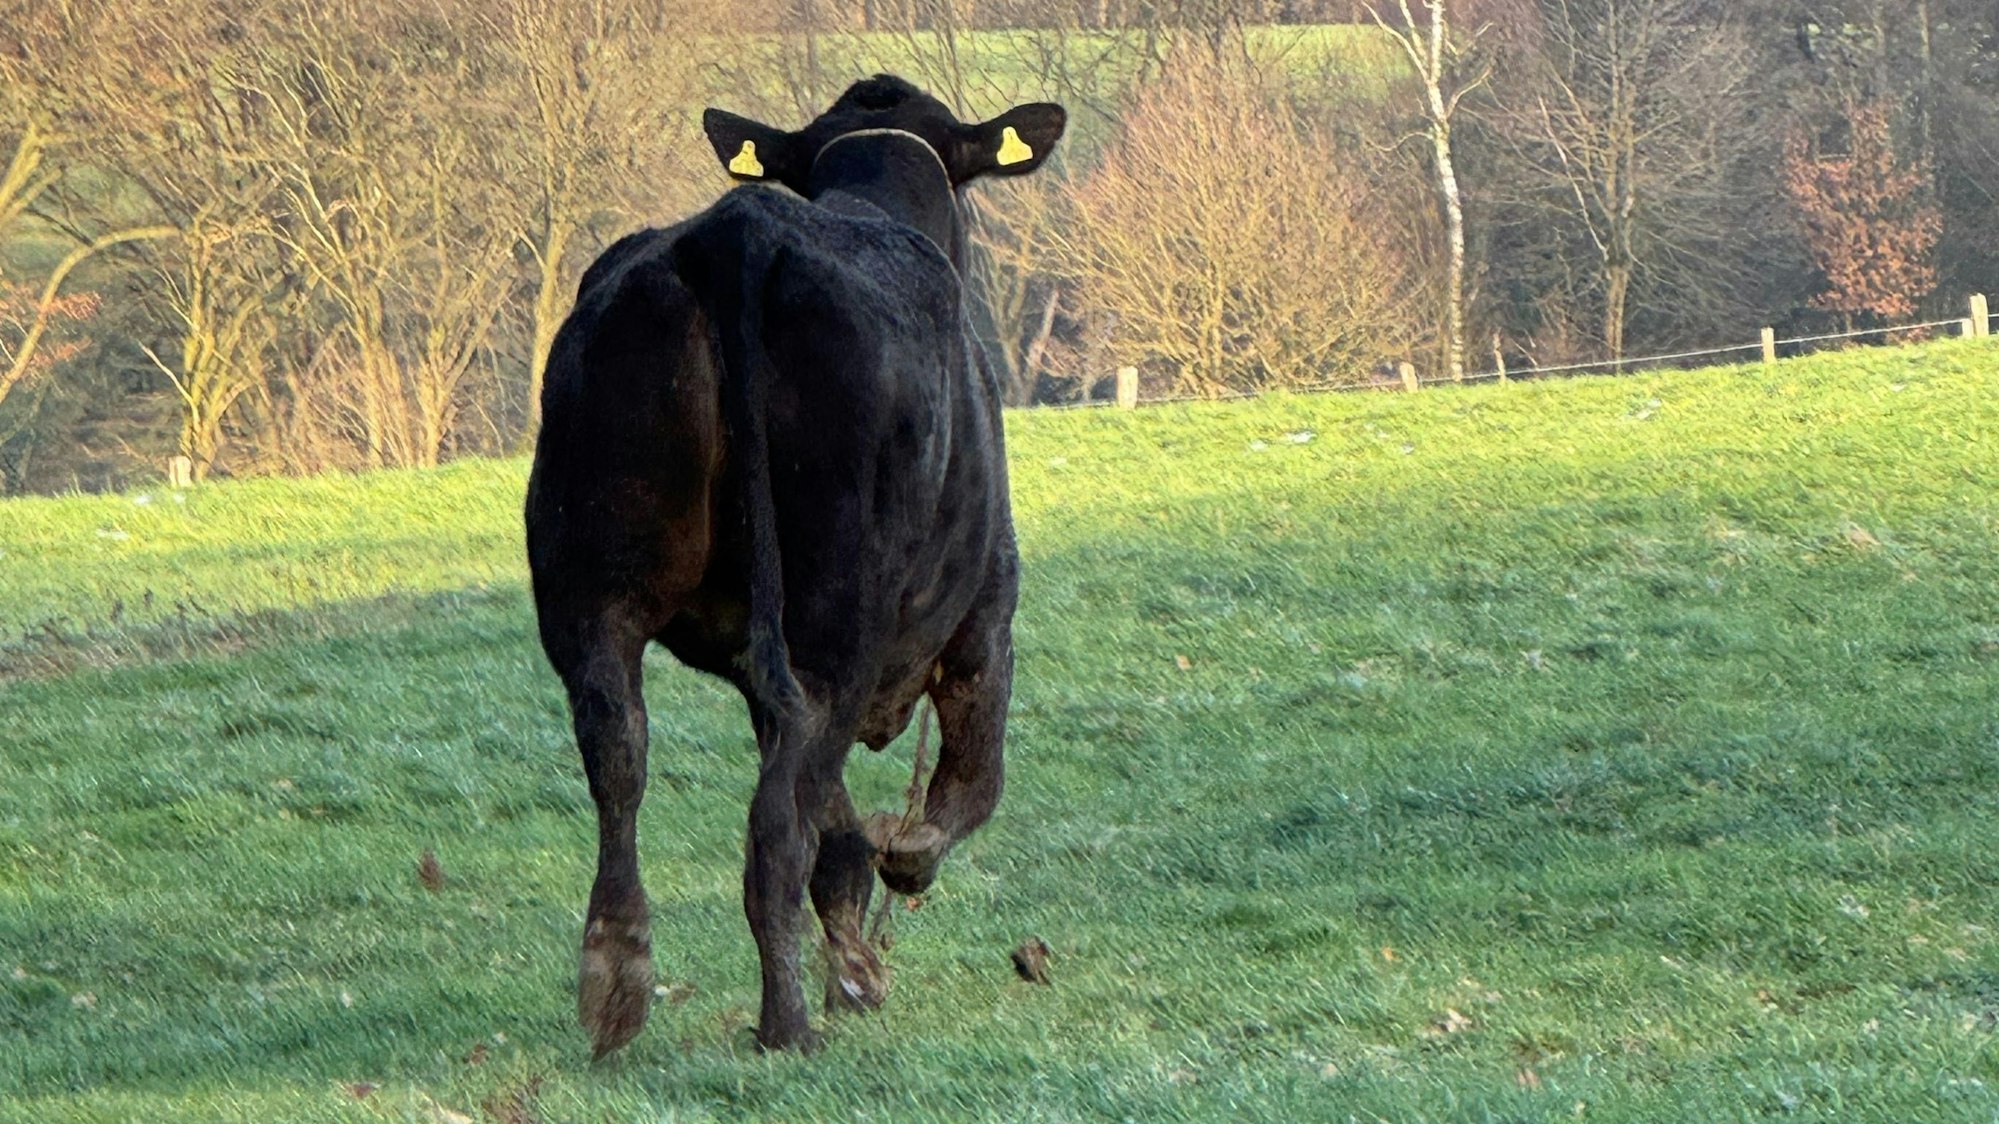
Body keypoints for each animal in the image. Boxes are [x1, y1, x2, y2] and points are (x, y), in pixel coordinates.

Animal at [523, 76, 1066, 1055]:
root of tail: (735, 231)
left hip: (590, 584)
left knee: (620, 749)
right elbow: (965, 791)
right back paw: (788, 1022)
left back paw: (616, 984)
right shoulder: (985, 617)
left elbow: (838, 814)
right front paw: (896, 876)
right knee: (778, 817)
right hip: (835, 609)